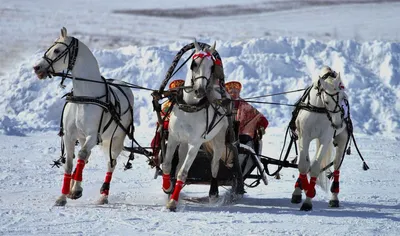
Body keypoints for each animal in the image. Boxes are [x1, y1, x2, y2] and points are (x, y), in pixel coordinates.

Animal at [32, 27, 134, 206]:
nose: (37, 67)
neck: (85, 96)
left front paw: (76, 191)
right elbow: (69, 163)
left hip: (115, 139)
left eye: (57, 50)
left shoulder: (93, 135)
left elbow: (82, 155)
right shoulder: (70, 135)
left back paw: (103, 195)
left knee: (111, 163)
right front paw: (63, 195)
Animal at [162, 40, 244, 210]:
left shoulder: (195, 143)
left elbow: (183, 173)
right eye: (193, 63)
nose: (200, 90)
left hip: (219, 140)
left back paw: (214, 192)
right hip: (184, 143)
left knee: (214, 165)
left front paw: (173, 202)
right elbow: (167, 165)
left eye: (212, 66)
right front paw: (168, 188)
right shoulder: (174, 138)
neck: (190, 106)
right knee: (178, 163)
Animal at [290, 67, 350, 212]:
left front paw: (308, 199)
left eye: (343, 98)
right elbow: (303, 165)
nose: (337, 124)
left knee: (336, 164)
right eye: (327, 101)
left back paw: (334, 198)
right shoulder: (303, 137)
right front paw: (302, 190)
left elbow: (315, 167)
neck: (318, 110)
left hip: (342, 138)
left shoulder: (325, 139)